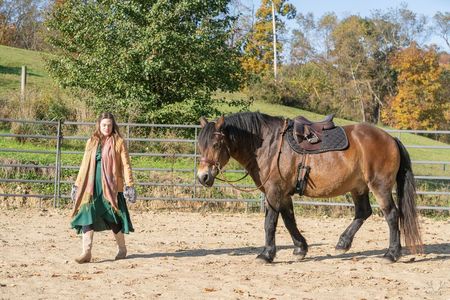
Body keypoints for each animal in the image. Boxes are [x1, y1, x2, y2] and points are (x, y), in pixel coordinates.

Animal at [197, 112, 422, 262]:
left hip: (379, 186)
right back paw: (343, 243)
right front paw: (300, 249)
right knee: (363, 212)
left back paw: (391, 254)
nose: (203, 177)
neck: (269, 145)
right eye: (200, 145)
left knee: (392, 215)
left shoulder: (273, 192)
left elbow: (270, 223)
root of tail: (390, 138)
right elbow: (289, 220)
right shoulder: (283, 194)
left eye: (216, 145)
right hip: (358, 187)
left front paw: (266, 254)